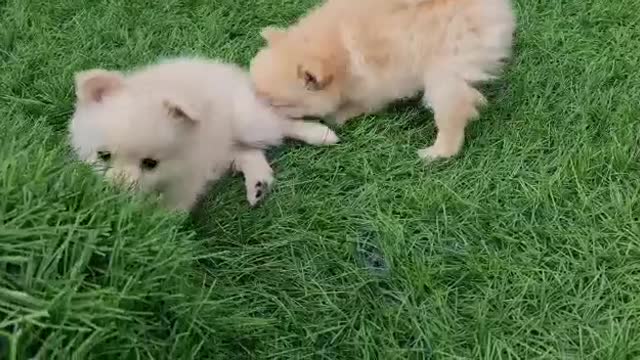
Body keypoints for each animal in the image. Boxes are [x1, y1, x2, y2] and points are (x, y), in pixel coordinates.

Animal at [69, 57, 340, 211]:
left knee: (279, 122)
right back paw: (258, 185)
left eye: (150, 164)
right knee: (250, 153)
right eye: (103, 155)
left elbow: (168, 212)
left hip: (248, 120)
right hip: (225, 147)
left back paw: (319, 133)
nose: (116, 192)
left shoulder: (184, 183)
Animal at [250, 0, 516, 160]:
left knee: (454, 110)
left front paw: (339, 114)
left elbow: (361, 104)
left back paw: (438, 152)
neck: (340, 53)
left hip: (443, 67)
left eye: (276, 104)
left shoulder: (375, 83)